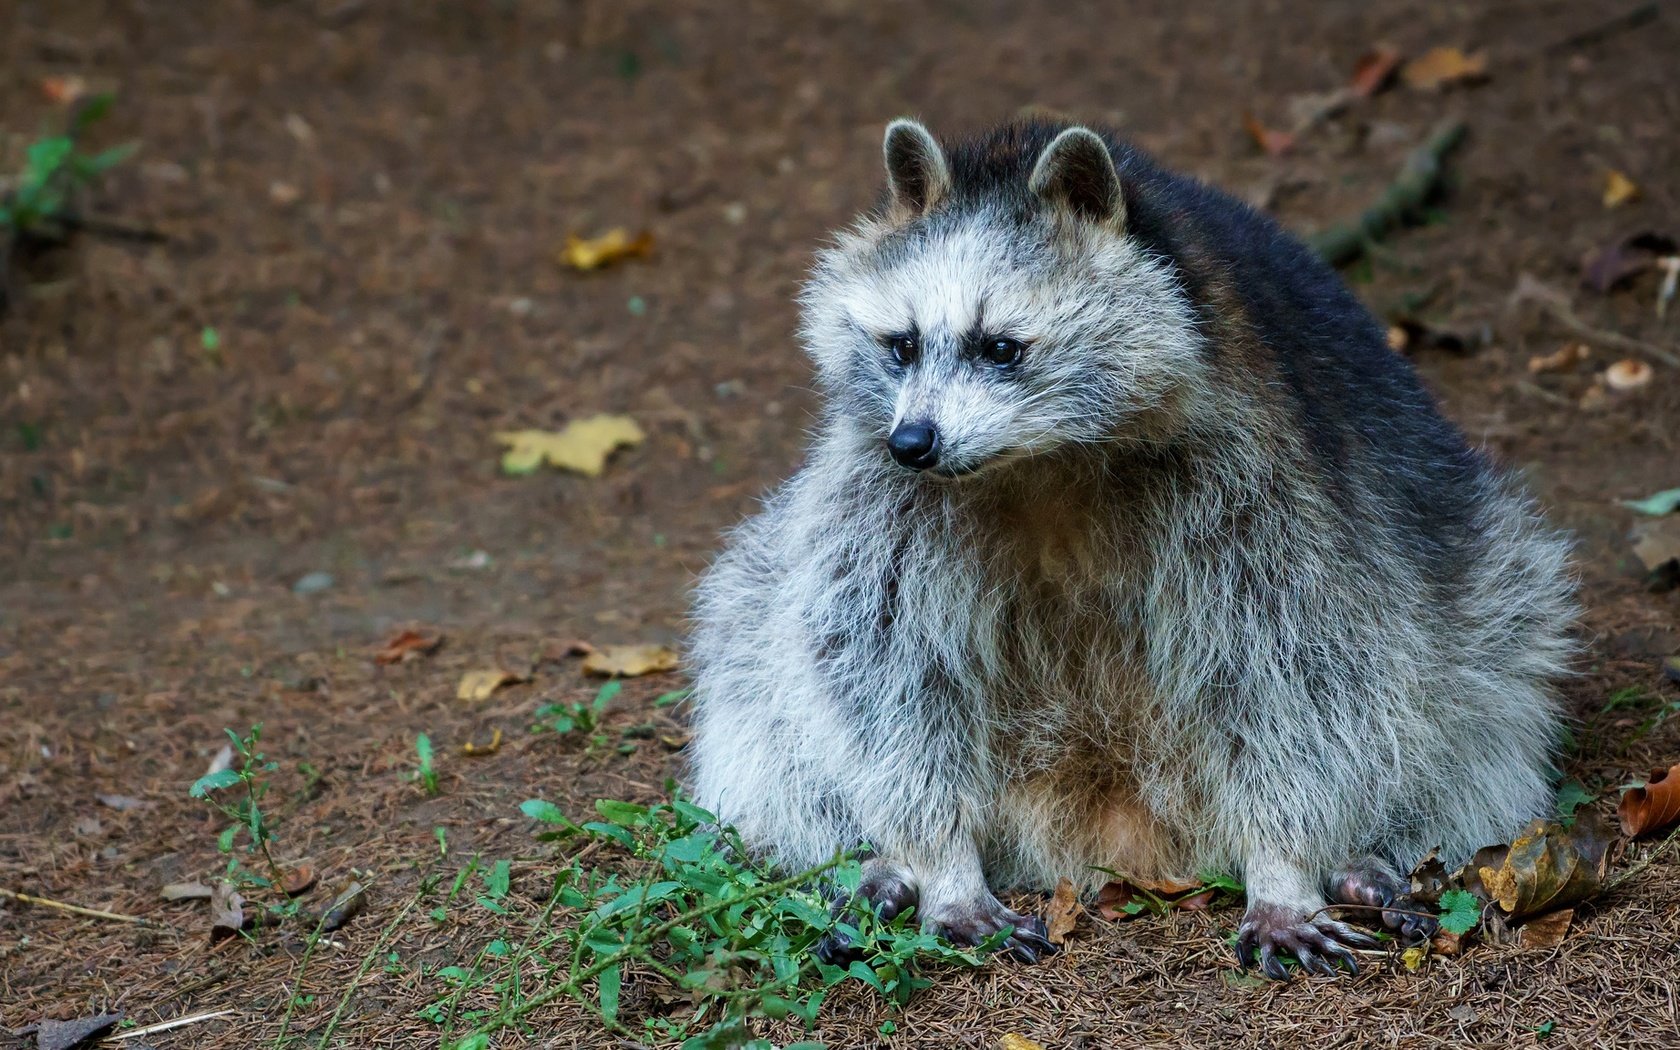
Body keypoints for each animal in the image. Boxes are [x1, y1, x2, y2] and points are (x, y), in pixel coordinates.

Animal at [682, 114, 1572, 974]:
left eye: (999, 347)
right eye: (901, 344)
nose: (914, 442)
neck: (1039, 458)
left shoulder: (1263, 483)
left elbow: (1299, 673)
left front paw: (1284, 865)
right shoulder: (881, 504)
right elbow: (883, 670)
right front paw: (941, 862)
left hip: (1488, 594)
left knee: (1484, 690)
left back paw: (1365, 852)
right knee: (754, 666)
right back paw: (884, 859)